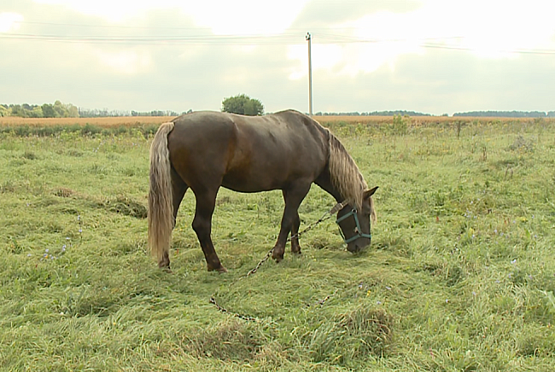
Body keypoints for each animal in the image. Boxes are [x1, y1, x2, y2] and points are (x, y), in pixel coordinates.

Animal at [149, 109, 378, 272]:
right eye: (365, 213)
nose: (363, 247)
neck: (315, 139)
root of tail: (174, 124)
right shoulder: (300, 187)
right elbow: (287, 221)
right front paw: (278, 254)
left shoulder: (290, 189)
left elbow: (294, 220)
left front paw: (296, 251)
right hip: (206, 192)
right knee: (201, 226)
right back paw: (216, 265)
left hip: (177, 186)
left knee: (168, 221)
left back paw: (165, 264)